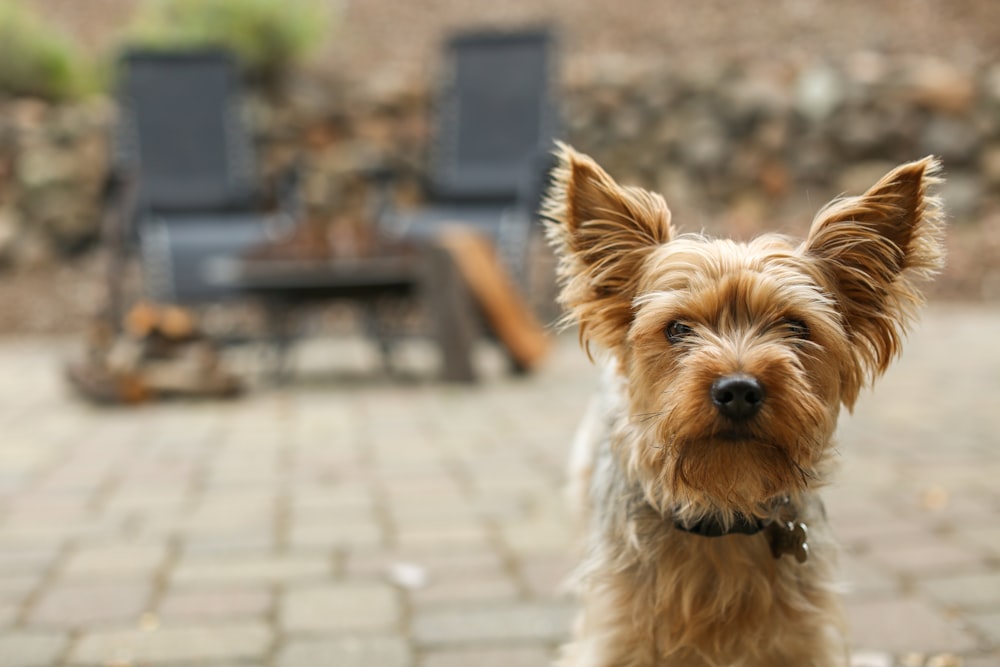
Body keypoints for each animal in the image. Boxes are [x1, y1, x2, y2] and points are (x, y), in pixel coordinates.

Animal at [548, 146, 944, 667]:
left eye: (796, 327)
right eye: (677, 328)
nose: (738, 389)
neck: (723, 514)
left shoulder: (803, 641)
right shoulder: (614, 636)